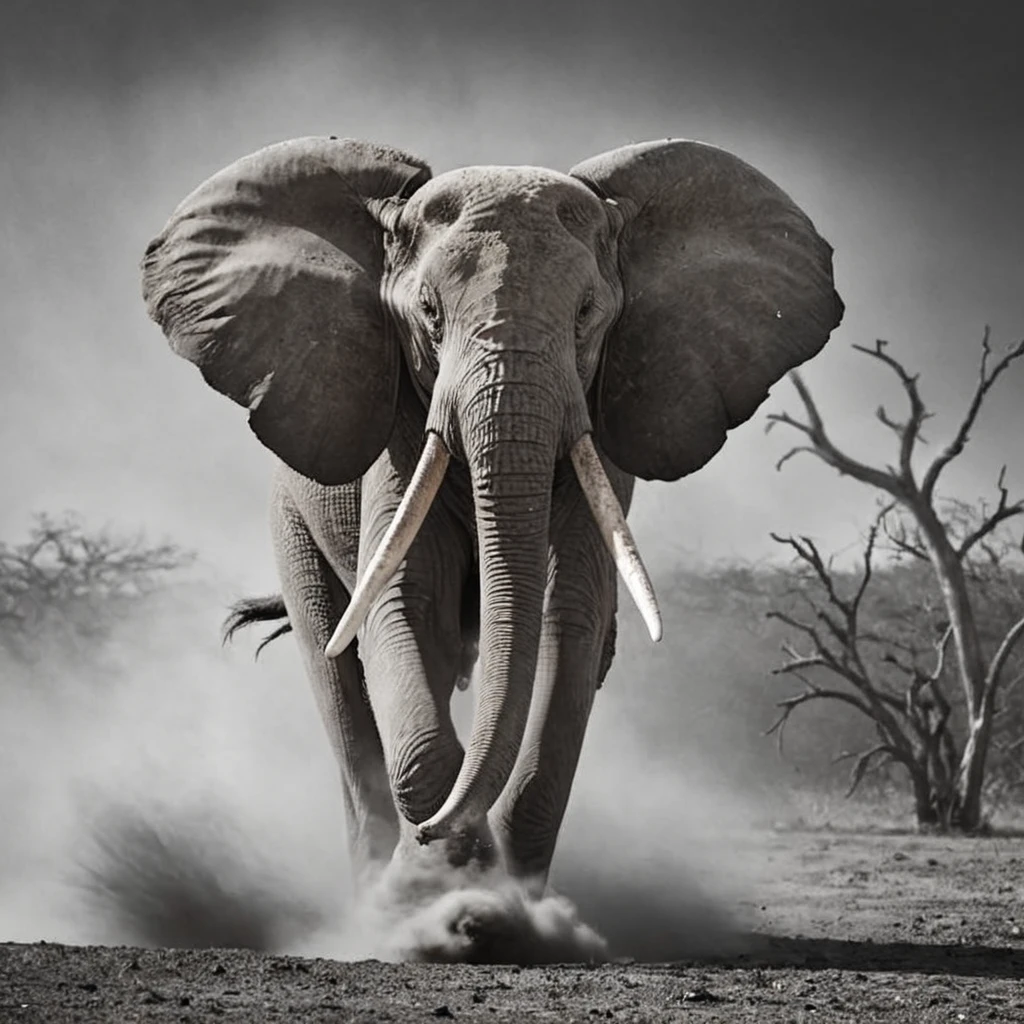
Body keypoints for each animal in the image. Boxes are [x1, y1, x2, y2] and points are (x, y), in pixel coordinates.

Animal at [142, 134, 839, 897]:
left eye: (587, 313)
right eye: (428, 311)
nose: (437, 835)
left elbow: (572, 618)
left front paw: (500, 887)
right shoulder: (397, 438)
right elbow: (402, 606)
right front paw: (449, 870)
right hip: (291, 519)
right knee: (340, 684)